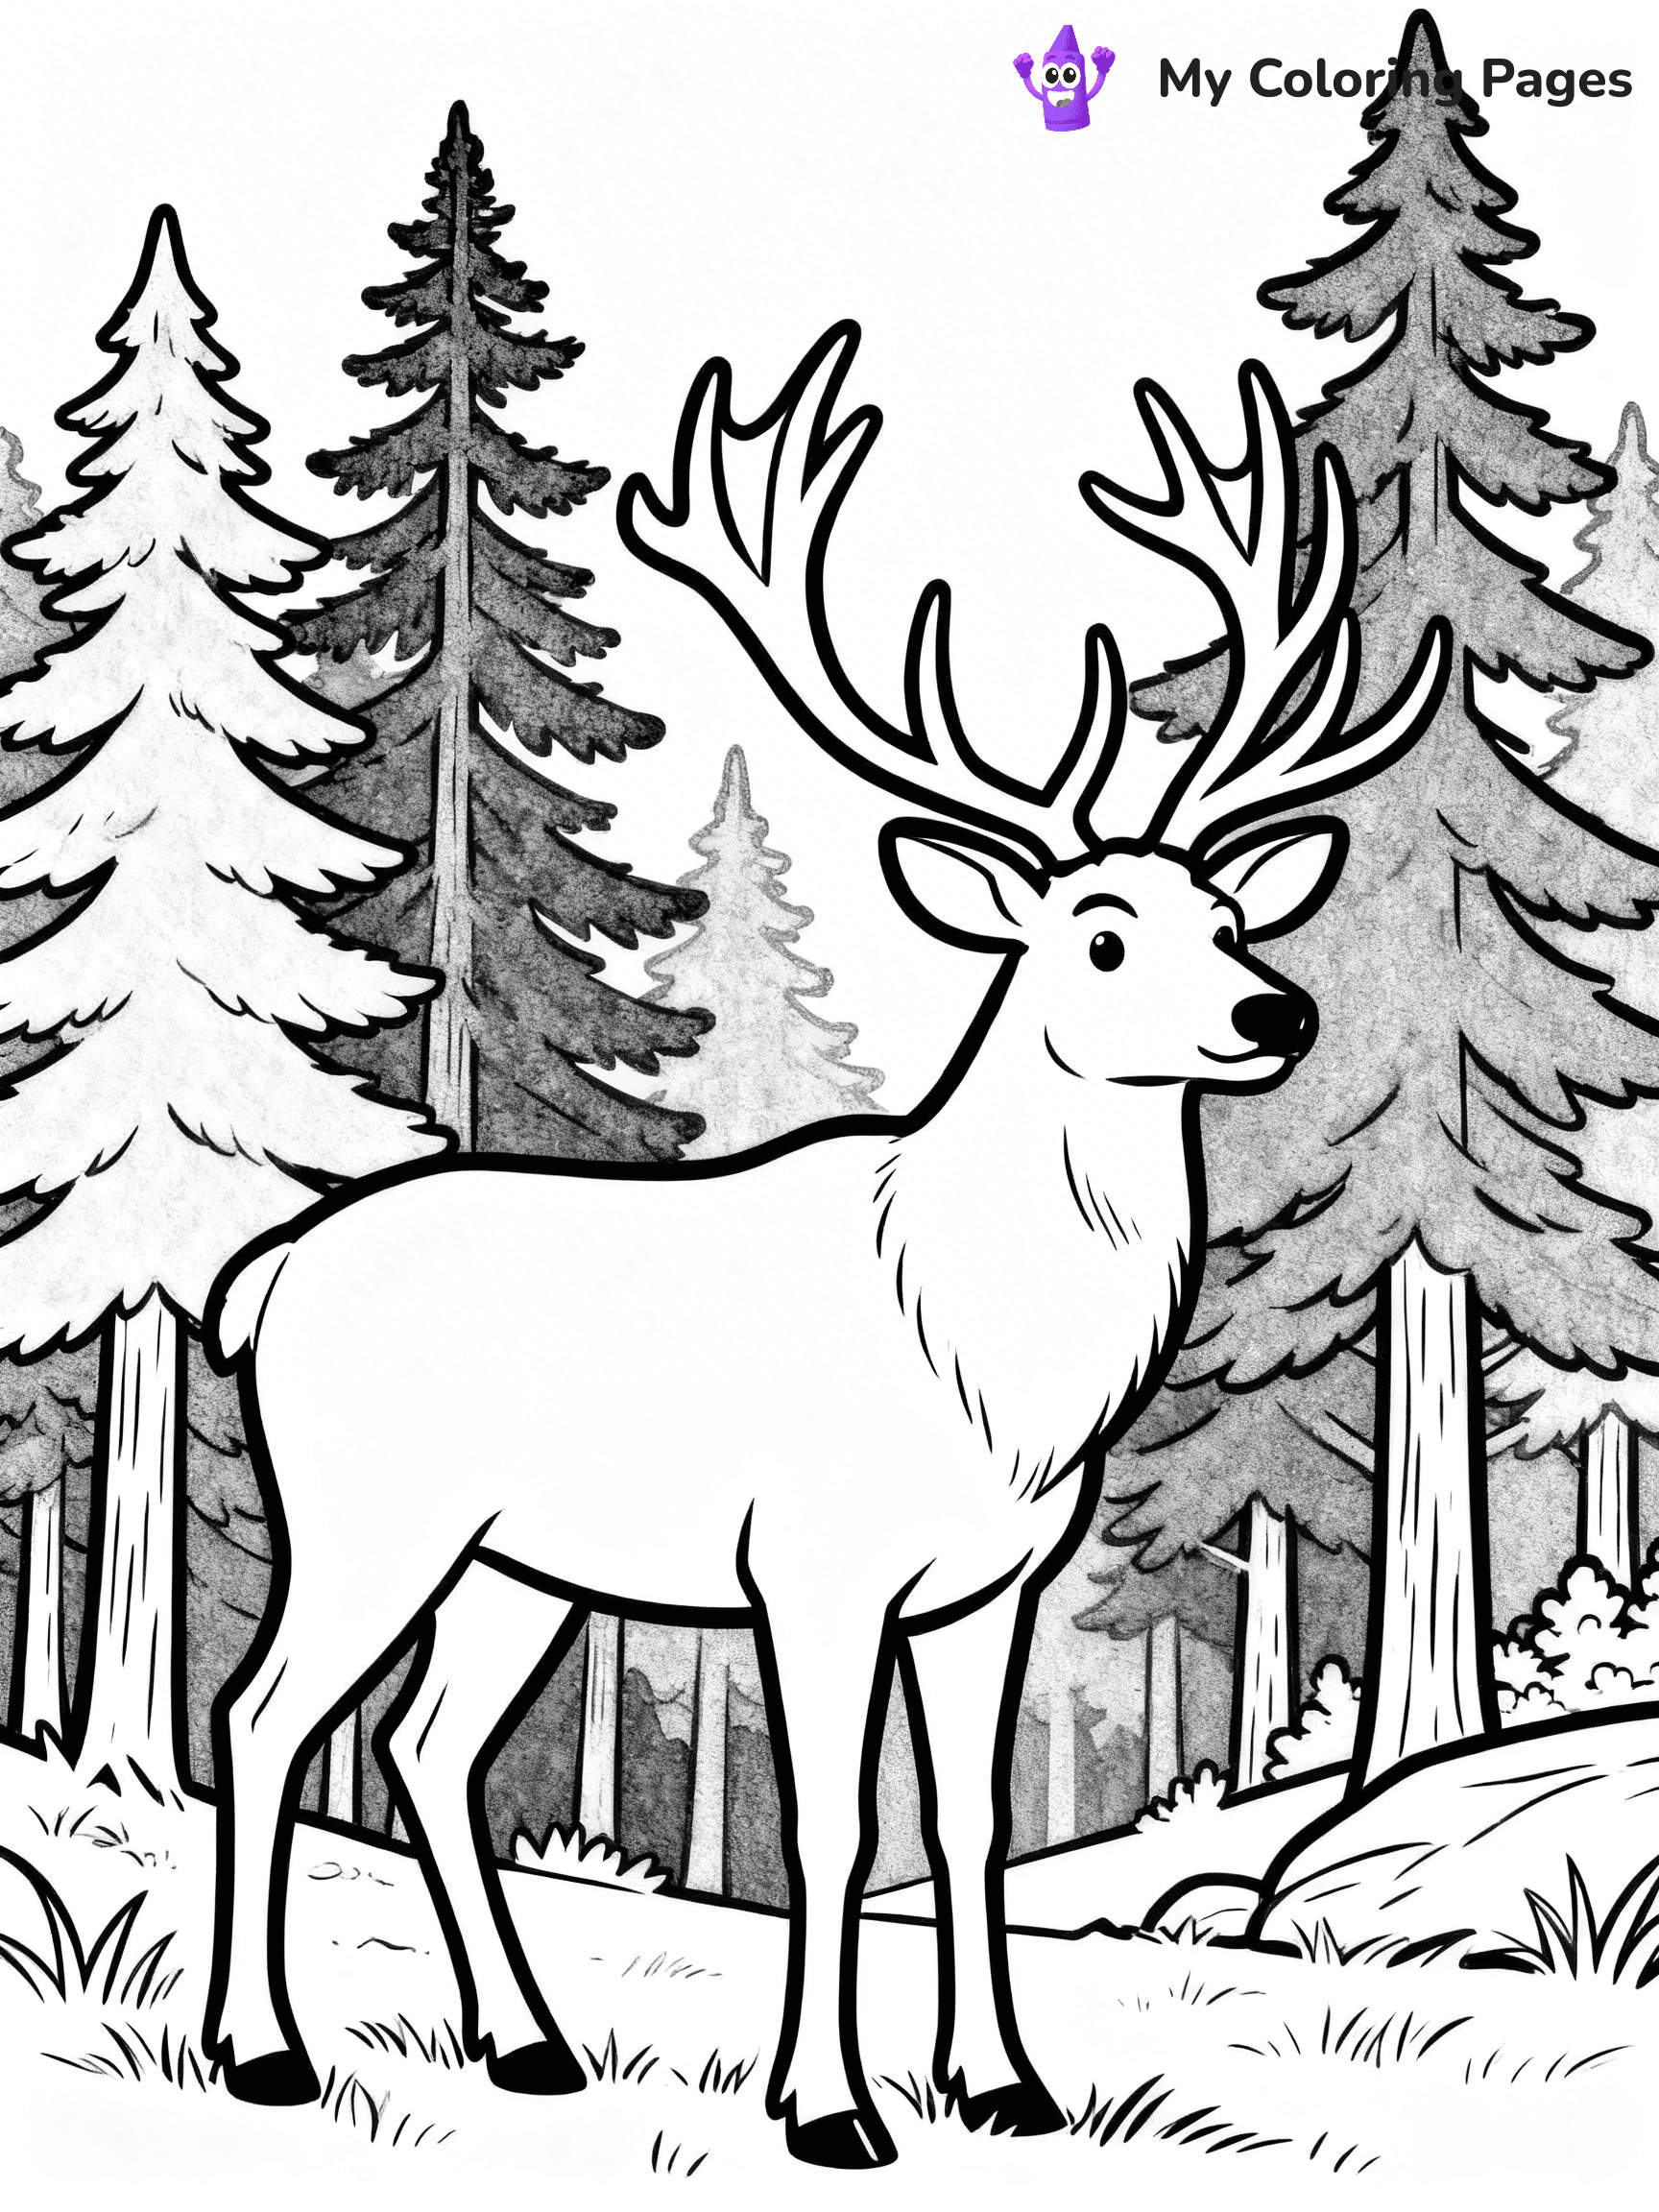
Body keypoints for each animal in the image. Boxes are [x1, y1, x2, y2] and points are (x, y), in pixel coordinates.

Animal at [202, 322, 1448, 2169]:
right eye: (1097, 935)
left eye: (1227, 915)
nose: (1275, 1009)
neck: (994, 1366)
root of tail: (264, 1275)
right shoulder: (813, 1561)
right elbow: (832, 1827)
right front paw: (830, 2105)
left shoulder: (991, 1579)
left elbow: (969, 1818)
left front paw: (1004, 2085)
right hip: (368, 1506)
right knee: (262, 1712)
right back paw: (264, 2049)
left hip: (515, 1562)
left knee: (431, 1745)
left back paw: (529, 2044)